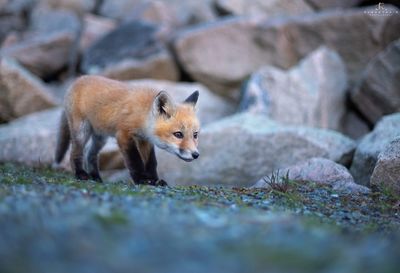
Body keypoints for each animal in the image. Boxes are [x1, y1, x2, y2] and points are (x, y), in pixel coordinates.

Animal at [54, 74, 200, 185]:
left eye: (195, 135)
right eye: (178, 134)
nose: (196, 155)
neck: (142, 115)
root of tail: (77, 80)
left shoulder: (144, 140)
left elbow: (151, 162)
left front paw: (154, 180)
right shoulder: (123, 135)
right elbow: (134, 160)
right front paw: (141, 179)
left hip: (100, 137)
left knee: (90, 154)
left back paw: (96, 177)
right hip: (81, 131)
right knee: (75, 153)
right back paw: (80, 174)